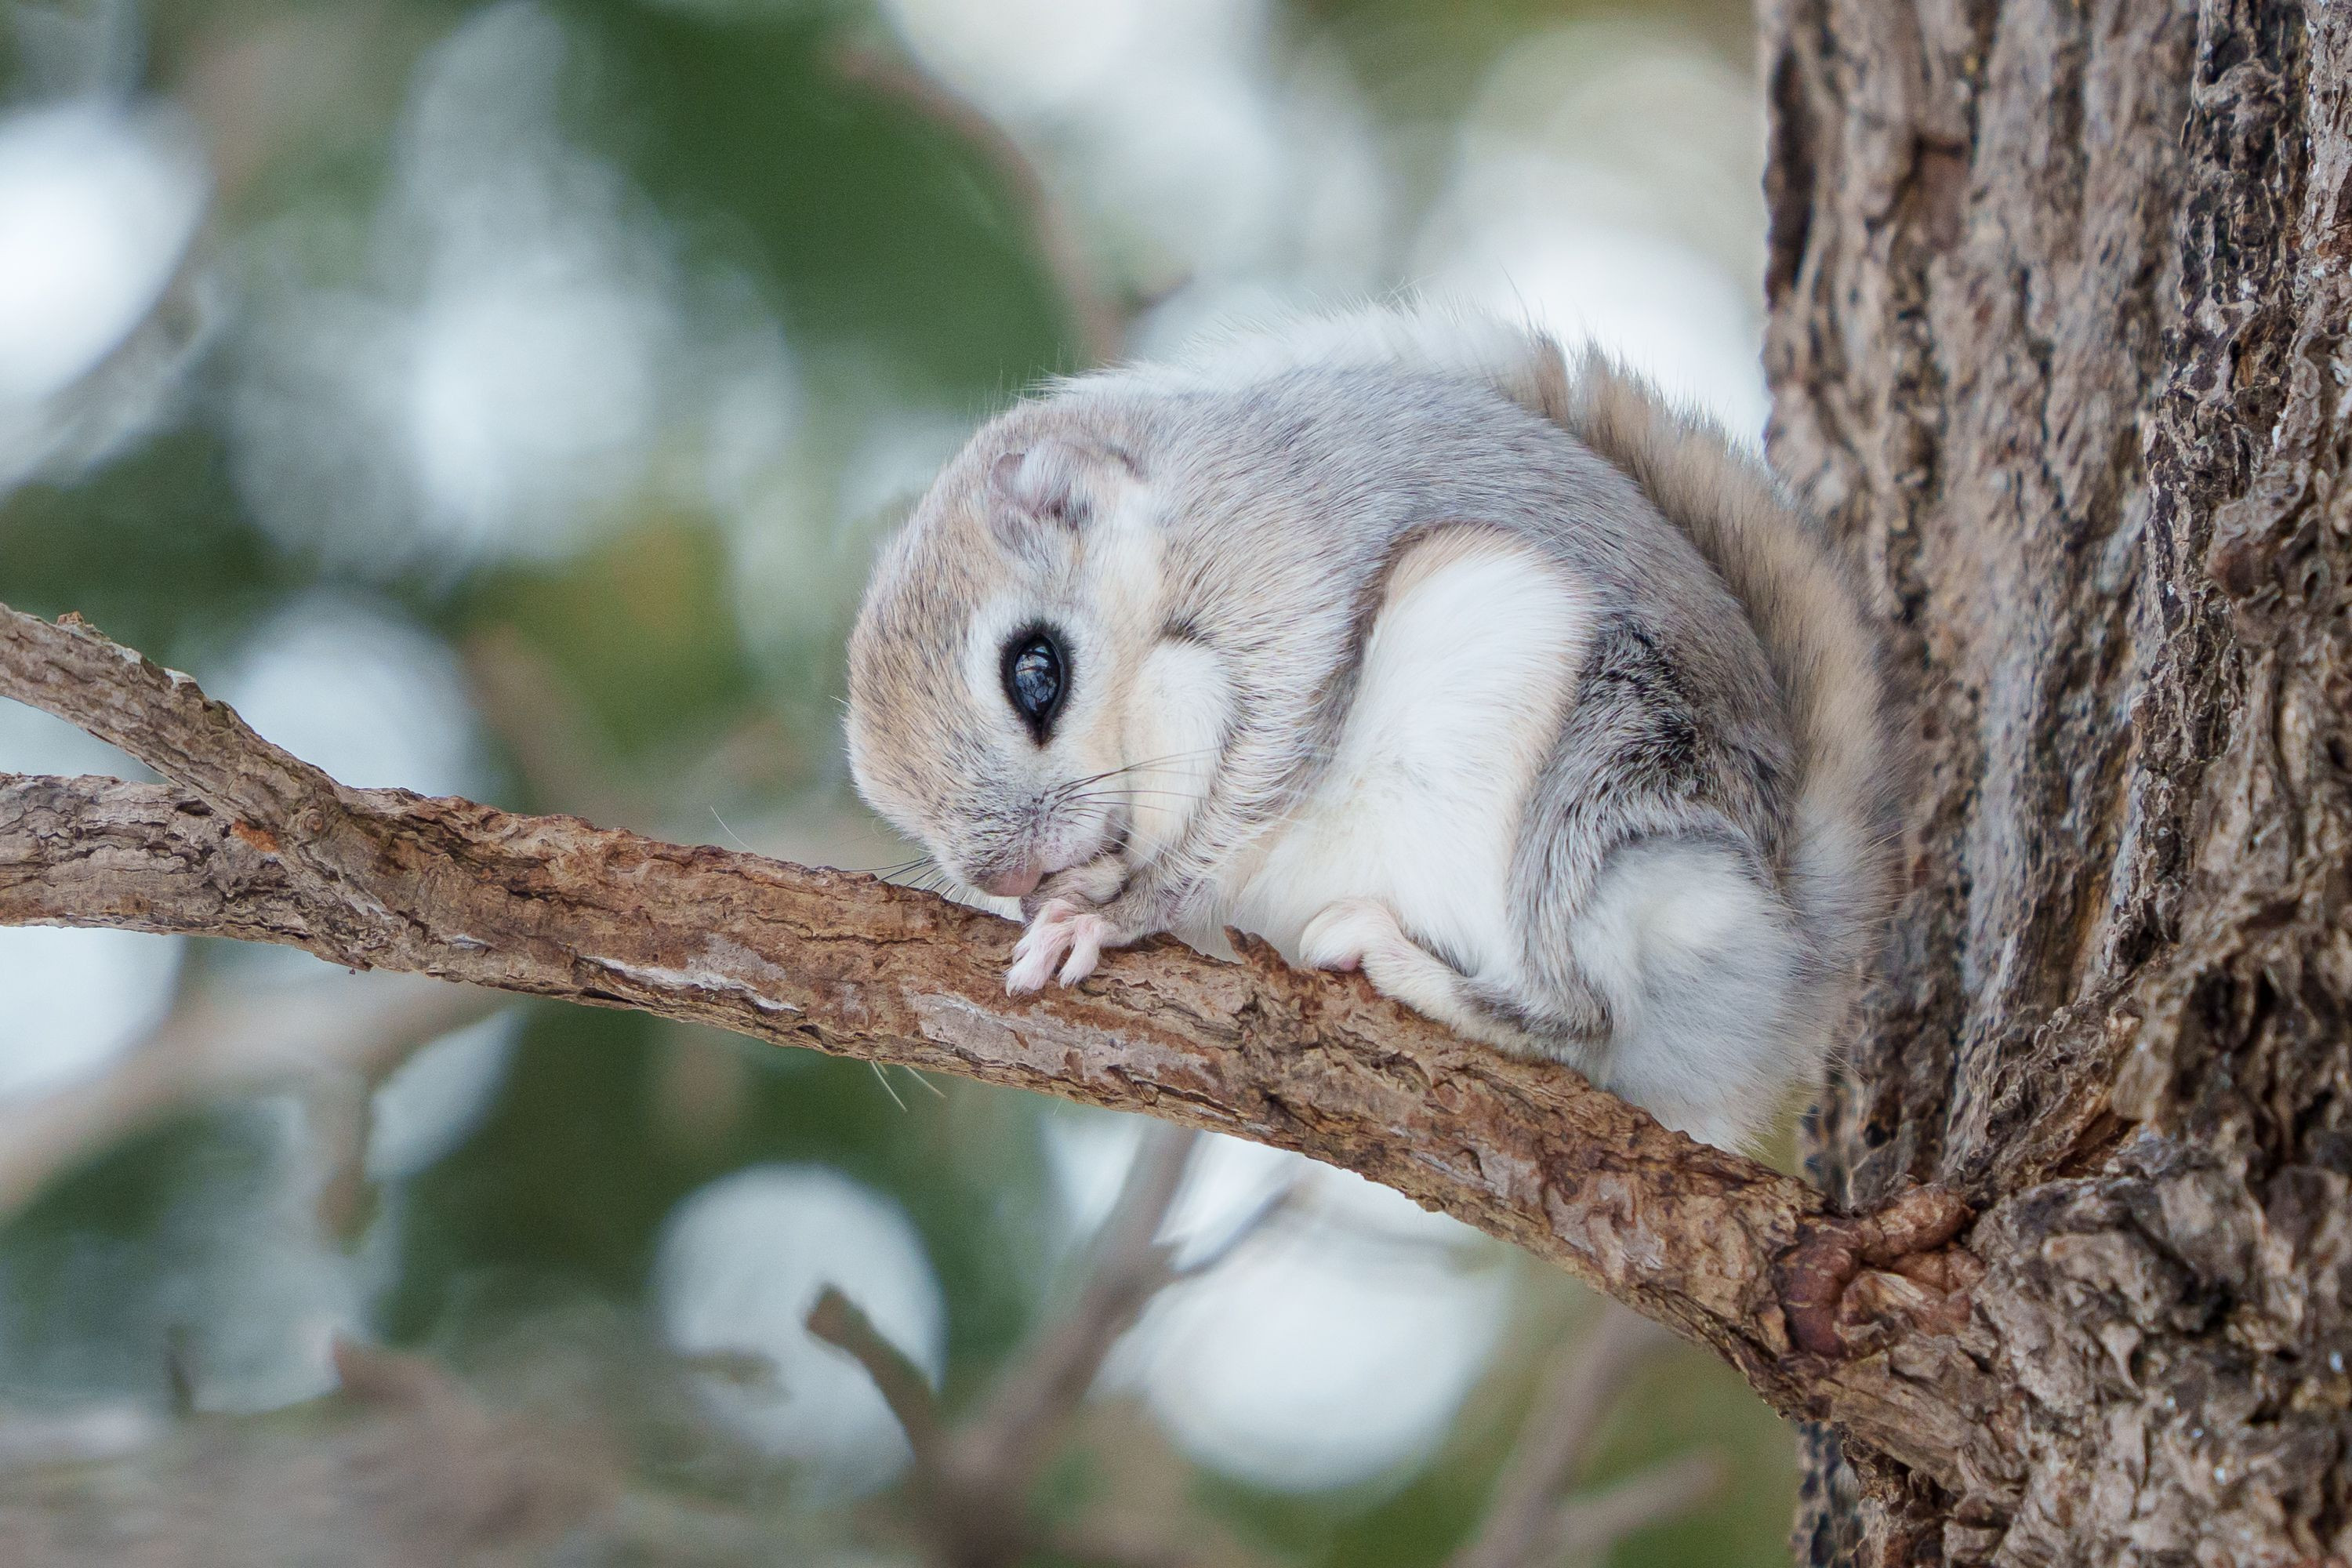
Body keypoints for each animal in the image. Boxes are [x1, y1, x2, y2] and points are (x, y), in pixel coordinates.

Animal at [844, 306, 1896, 1151]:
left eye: (1037, 671)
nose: (1007, 876)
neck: (1168, 529)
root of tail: (1782, 950)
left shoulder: (1284, 579)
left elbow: (1254, 777)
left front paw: (1108, 914)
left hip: (1593, 777)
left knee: (1579, 1012)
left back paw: (1398, 960)